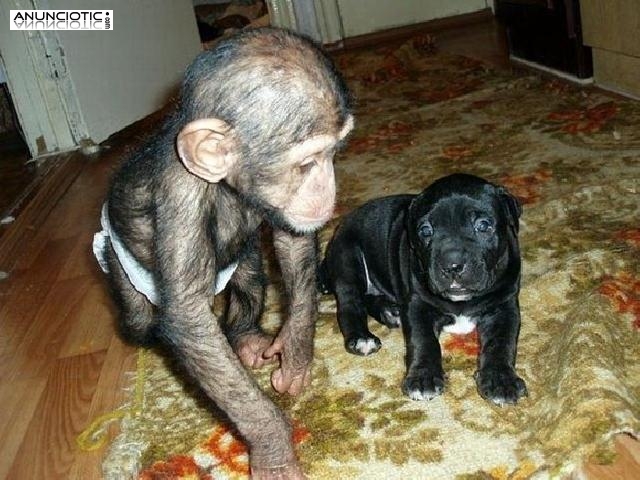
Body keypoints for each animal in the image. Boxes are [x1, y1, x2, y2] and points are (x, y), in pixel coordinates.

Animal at [92, 28, 353, 479]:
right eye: (307, 163)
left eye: (334, 153)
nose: (327, 189)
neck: (230, 185)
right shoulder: (180, 198)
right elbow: (189, 316)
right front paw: (273, 448)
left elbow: (293, 243)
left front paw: (294, 354)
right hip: (125, 272)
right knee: (138, 321)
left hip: (241, 264)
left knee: (248, 277)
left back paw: (246, 338)